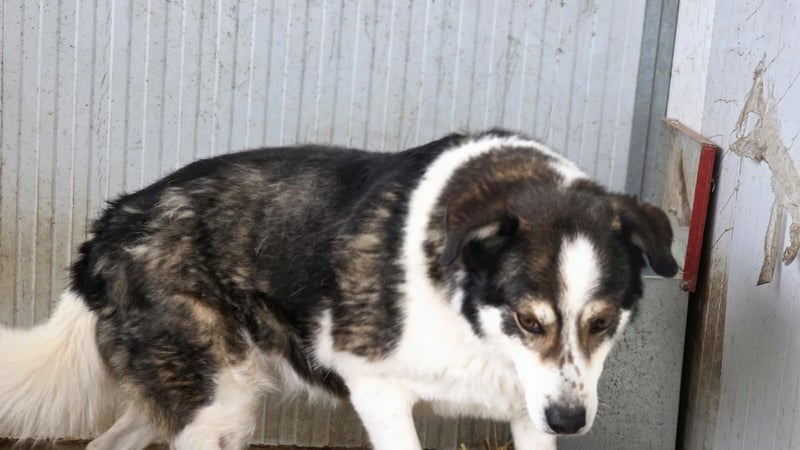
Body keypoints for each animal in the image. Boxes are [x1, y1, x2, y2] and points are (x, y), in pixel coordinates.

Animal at [0, 129, 677, 450]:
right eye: (529, 320)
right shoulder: (376, 389)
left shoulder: (530, 411)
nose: (571, 421)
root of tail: (112, 223)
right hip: (218, 409)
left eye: (602, 323)